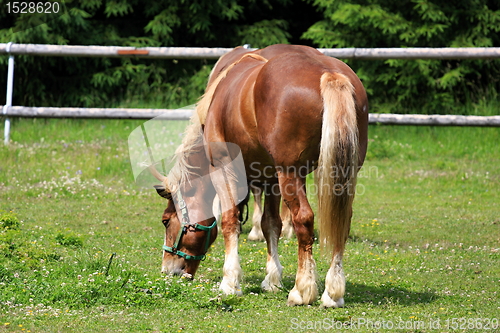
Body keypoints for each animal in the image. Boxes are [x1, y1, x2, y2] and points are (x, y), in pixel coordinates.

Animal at [154, 44, 370, 306]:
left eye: (166, 221)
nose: (168, 270)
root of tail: (329, 73)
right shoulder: (270, 177)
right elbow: (271, 224)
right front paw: (272, 279)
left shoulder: (223, 168)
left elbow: (229, 221)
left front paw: (230, 282)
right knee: (341, 221)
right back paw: (333, 293)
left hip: (290, 173)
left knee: (304, 219)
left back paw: (302, 289)